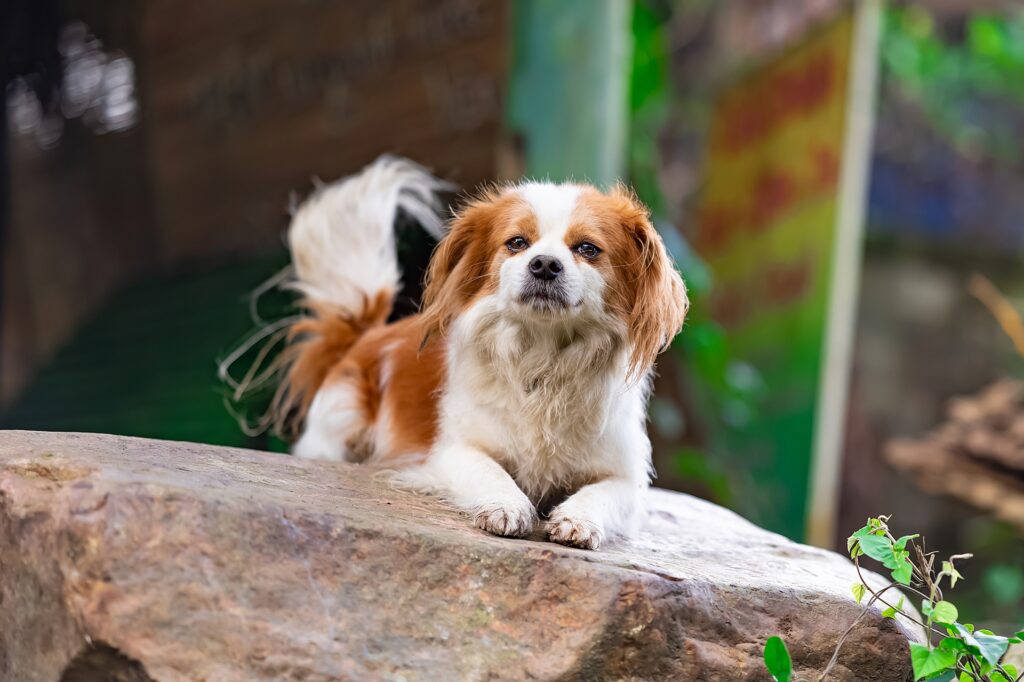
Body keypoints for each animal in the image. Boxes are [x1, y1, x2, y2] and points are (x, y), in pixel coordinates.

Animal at [272, 156, 688, 548]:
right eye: (517, 243)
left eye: (587, 248)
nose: (544, 264)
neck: (543, 356)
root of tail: (366, 335)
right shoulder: (453, 451)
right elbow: (490, 470)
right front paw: (506, 506)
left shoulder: (627, 478)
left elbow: (602, 493)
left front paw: (578, 520)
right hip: (339, 423)